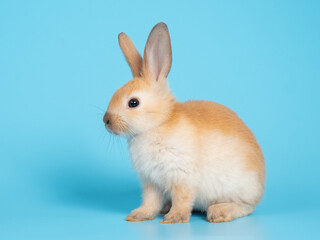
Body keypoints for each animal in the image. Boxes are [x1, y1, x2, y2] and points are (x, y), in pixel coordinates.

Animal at [104, 22, 266, 223]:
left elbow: (182, 199)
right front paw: (138, 215)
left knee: (247, 207)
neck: (158, 124)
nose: (106, 120)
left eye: (133, 103)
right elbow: (150, 201)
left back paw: (219, 212)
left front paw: (174, 218)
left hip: (241, 190)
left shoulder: (183, 177)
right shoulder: (152, 181)